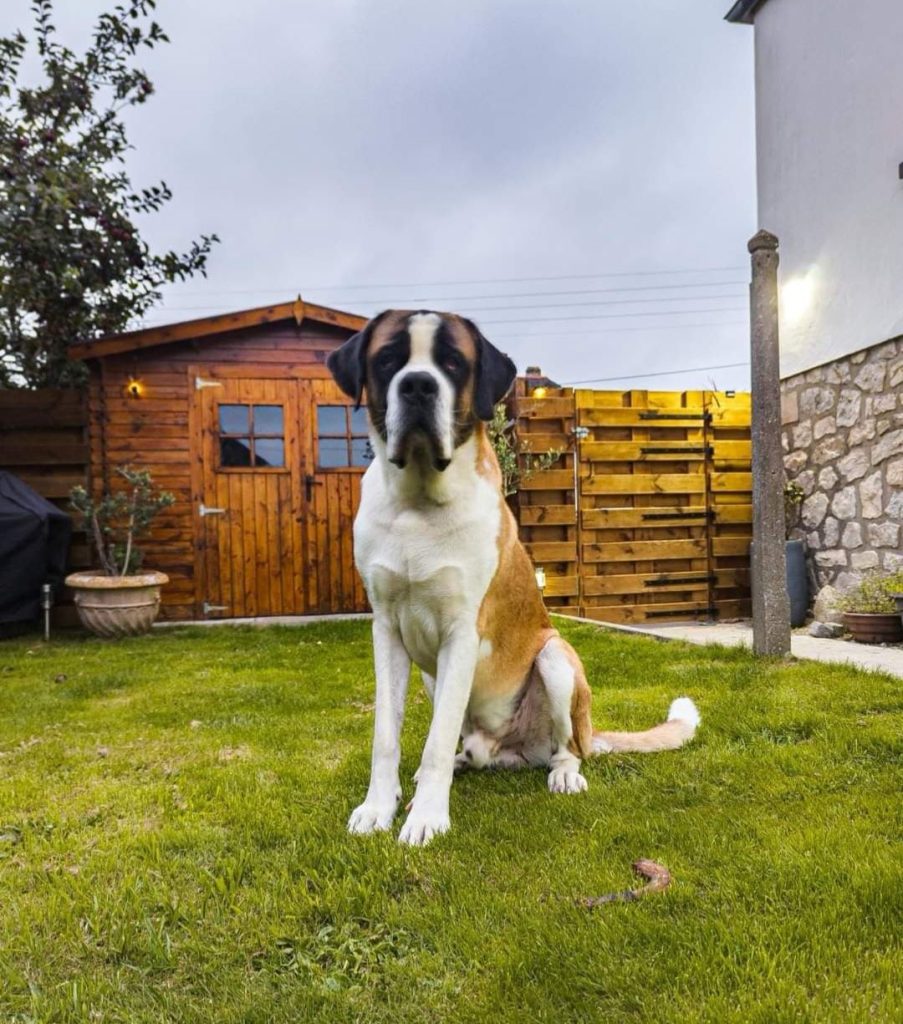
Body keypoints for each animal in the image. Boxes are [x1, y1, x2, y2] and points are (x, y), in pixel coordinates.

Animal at [327, 311, 700, 847]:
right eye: (388, 360)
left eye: (453, 363)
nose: (418, 385)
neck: (417, 503)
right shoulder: (387, 632)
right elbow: (386, 735)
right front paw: (378, 808)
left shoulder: (462, 634)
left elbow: (435, 739)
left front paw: (426, 819)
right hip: (433, 678)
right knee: (466, 744)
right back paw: (460, 764)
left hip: (555, 658)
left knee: (568, 748)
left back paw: (562, 773)